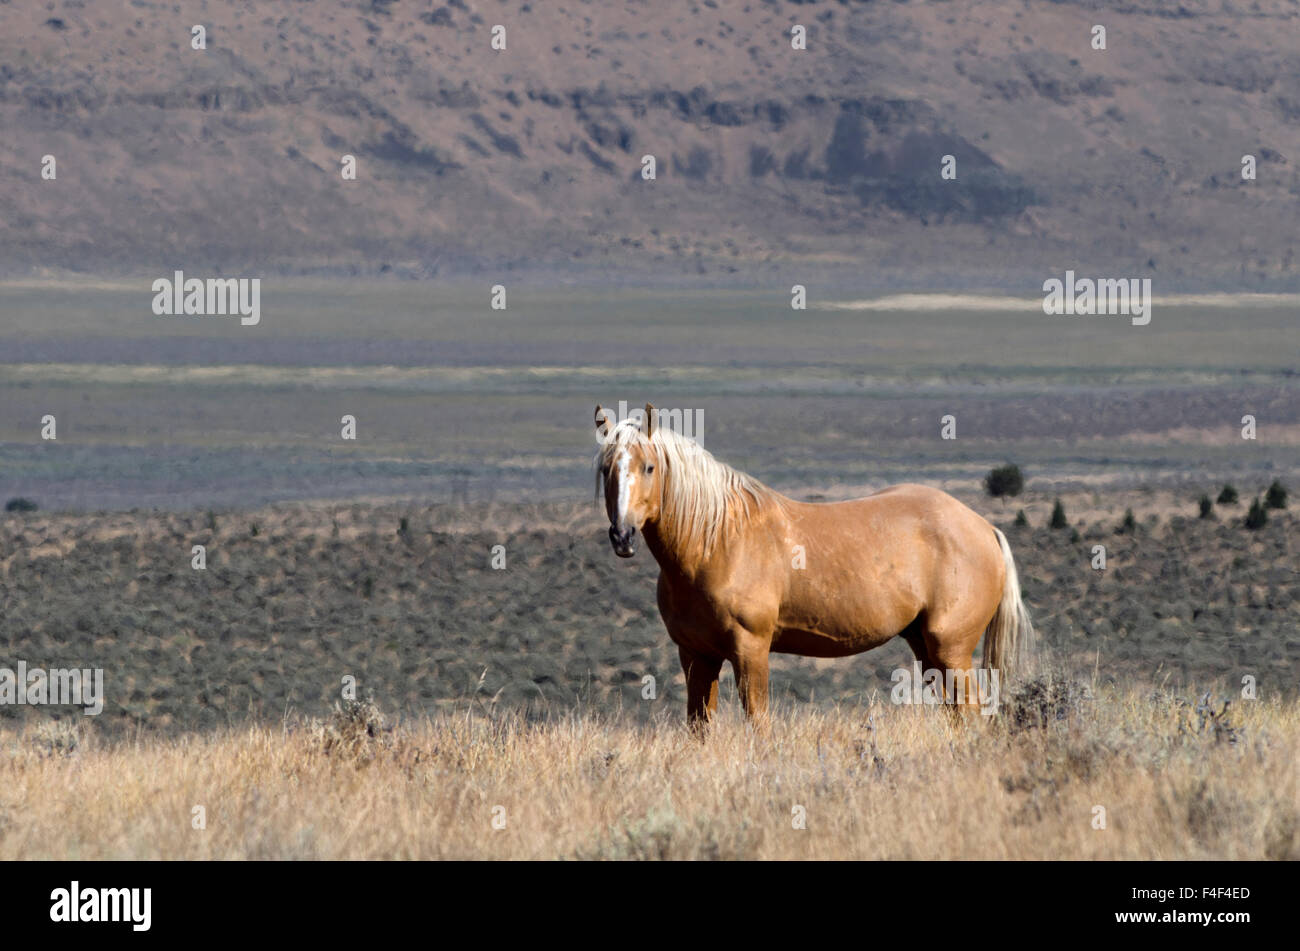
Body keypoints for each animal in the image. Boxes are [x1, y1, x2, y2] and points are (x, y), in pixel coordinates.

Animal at [595, 402, 1029, 727]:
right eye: (606, 469)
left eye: (649, 467)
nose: (622, 536)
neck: (716, 542)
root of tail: (984, 527)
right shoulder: (696, 655)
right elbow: (699, 727)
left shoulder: (751, 650)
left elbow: (758, 721)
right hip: (926, 648)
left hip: (951, 649)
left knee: (969, 714)